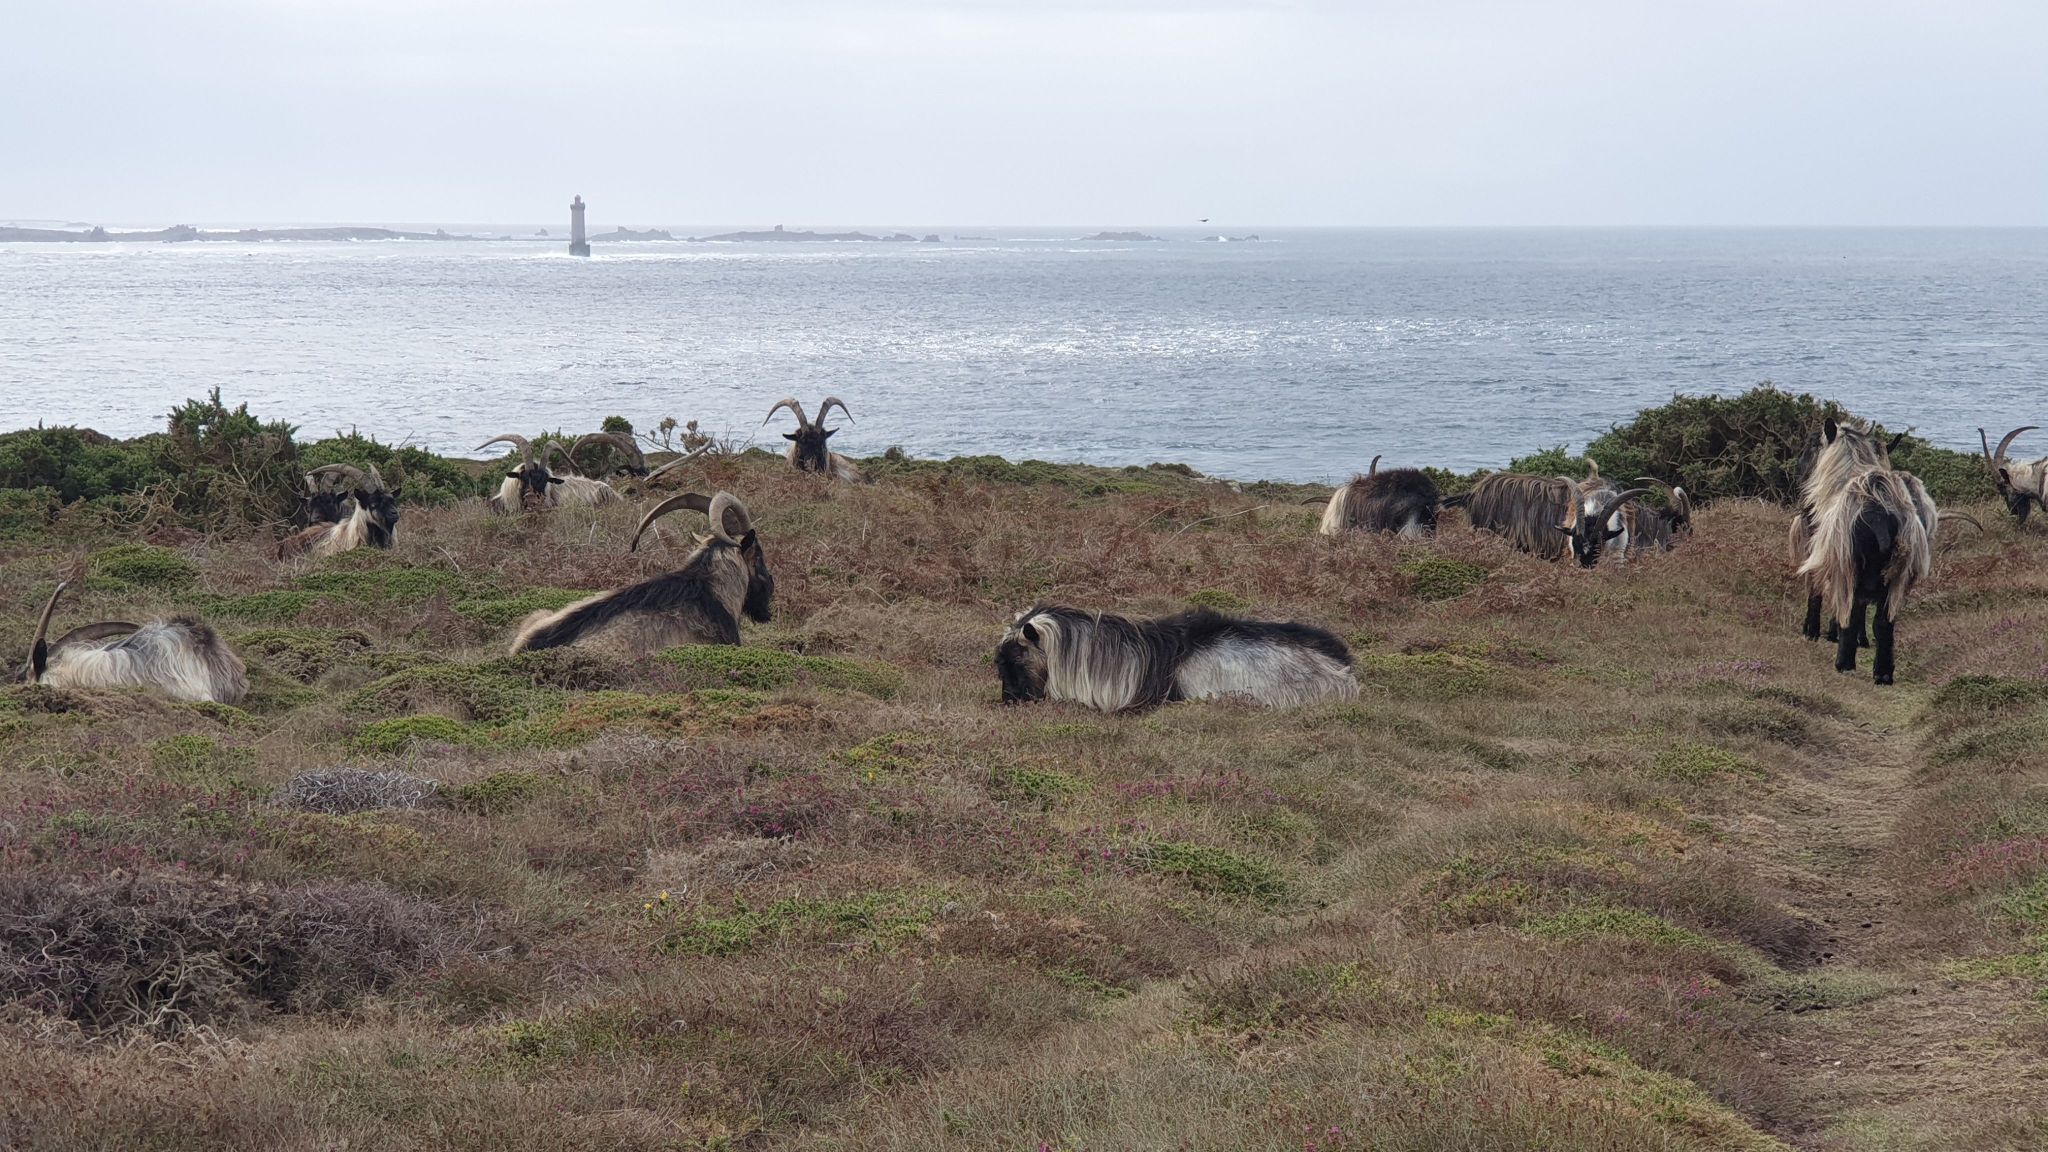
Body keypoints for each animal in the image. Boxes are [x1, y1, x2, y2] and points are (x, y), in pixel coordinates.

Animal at [1793, 419, 1937, 684]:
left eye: (1813, 442)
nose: (1798, 468)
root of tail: (1879, 515)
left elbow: (1817, 591)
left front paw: (1811, 631)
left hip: (1852, 566)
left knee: (1851, 611)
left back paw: (1844, 663)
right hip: (1895, 575)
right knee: (1883, 621)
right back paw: (1883, 673)